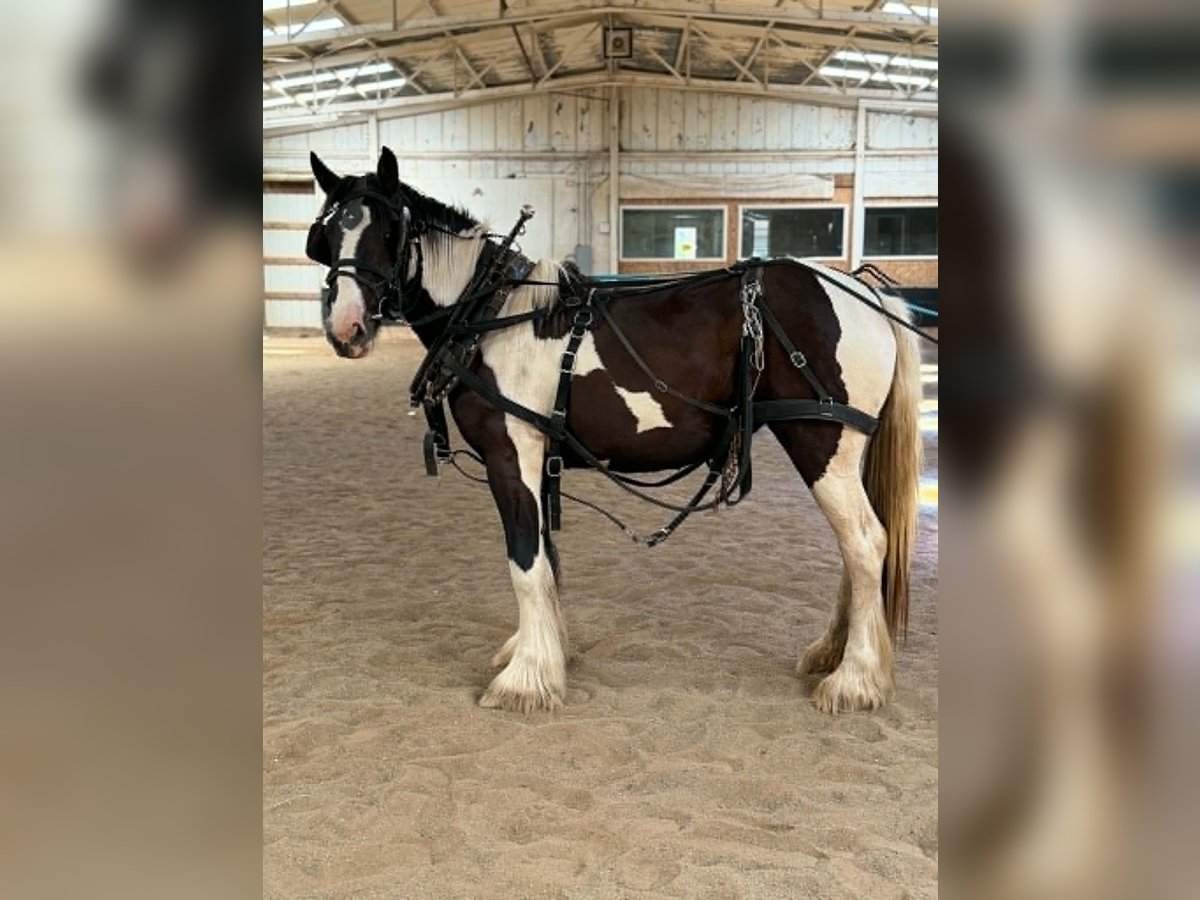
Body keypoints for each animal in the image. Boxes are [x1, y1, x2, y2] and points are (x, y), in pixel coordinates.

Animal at [304, 146, 923, 714]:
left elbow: (524, 560)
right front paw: (540, 651)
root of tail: (866, 292)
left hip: (820, 441)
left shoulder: (512, 453)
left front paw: (525, 679)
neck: (490, 315)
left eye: (389, 232)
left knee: (865, 543)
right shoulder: (537, 457)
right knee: (856, 548)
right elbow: (546, 558)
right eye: (326, 237)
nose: (346, 328)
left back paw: (854, 678)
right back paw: (832, 652)